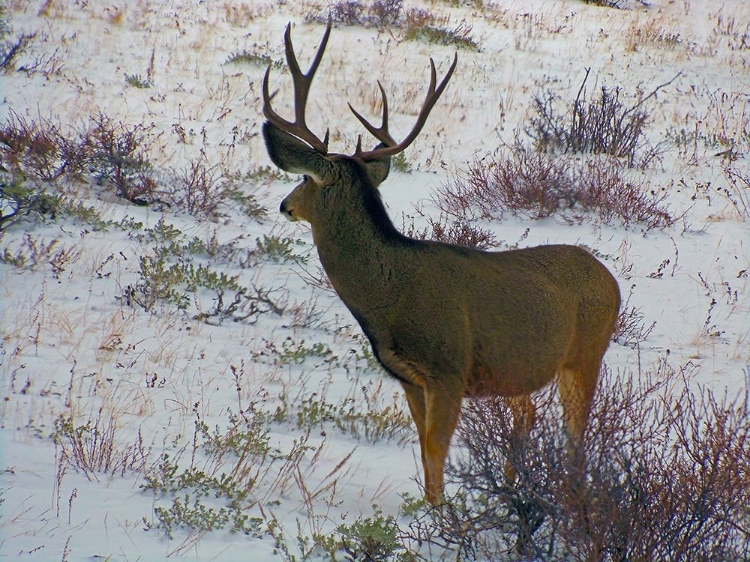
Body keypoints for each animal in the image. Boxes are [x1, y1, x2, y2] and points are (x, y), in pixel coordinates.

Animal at [262, 20, 624, 504]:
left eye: (304, 178)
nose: (284, 205)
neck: (389, 297)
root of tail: (611, 279)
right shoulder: (411, 378)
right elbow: (424, 450)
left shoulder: (448, 369)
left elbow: (436, 452)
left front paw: (440, 515)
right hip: (514, 368)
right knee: (528, 415)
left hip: (585, 354)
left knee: (574, 440)